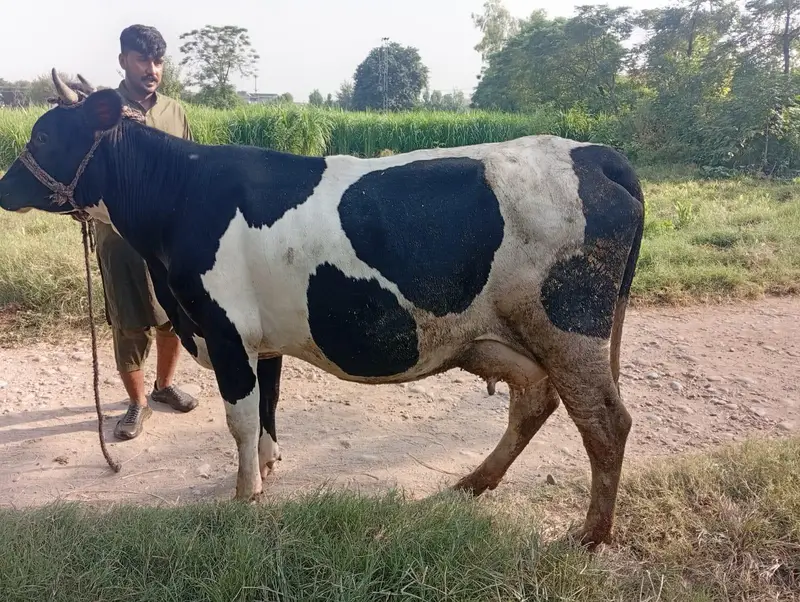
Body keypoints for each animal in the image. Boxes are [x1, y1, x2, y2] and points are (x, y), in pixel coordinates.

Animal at [0, 71, 645, 548]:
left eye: (44, 138)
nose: (5, 188)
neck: (181, 196)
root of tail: (593, 153)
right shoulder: (260, 339)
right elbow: (267, 406)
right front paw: (268, 467)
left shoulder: (225, 329)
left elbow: (239, 416)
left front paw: (245, 494)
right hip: (504, 335)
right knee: (534, 400)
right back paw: (475, 482)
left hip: (569, 328)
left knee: (604, 422)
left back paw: (591, 534)